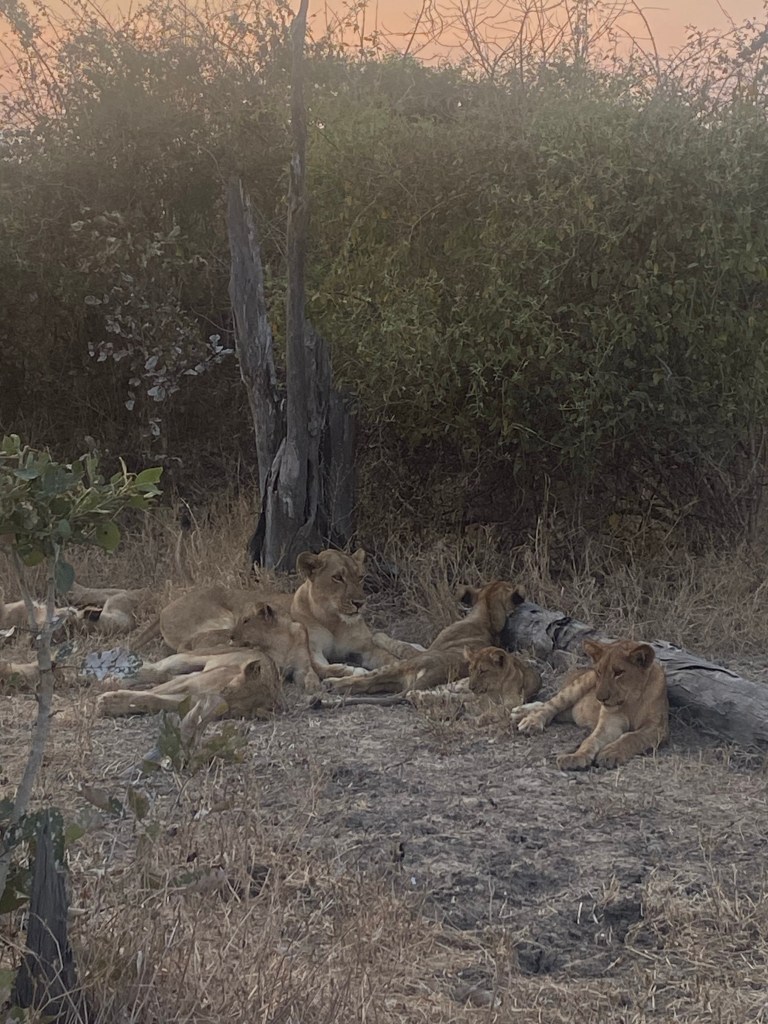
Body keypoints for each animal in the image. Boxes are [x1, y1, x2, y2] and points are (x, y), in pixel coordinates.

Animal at [96, 649, 282, 720]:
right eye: (226, 689)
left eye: (229, 709)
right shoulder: (187, 682)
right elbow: (152, 693)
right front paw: (109, 702)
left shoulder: (186, 699)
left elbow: (153, 699)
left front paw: (111, 704)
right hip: (189, 659)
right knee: (156, 669)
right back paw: (110, 681)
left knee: (161, 674)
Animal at [326, 581, 527, 695]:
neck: (485, 618)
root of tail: (434, 673)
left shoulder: (420, 651)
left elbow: (400, 645)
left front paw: (378, 635)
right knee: (367, 685)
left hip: (403, 665)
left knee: (365, 680)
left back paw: (332, 684)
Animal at [515, 638, 668, 770]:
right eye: (599, 672)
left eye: (618, 672)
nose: (600, 698)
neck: (631, 701)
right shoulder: (609, 724)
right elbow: (590, 741)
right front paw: (575, 757)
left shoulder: (656, 728)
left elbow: (631, 737)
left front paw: (610, 753)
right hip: (577, 686)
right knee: (550, 705)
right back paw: (528, 720)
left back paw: (519, 713)